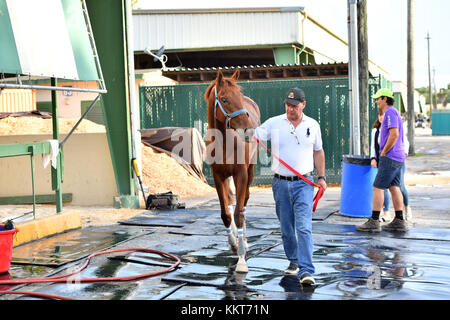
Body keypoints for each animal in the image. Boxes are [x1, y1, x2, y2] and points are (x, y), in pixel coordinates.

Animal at [204, 70, 260, 272]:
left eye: (239, 98)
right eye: (225, 99)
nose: (249, 130)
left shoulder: (241, 174)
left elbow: (239, 213)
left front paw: (242, 259)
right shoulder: (218, 176)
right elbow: (226, 214)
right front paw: (233, 244)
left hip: (250, 171)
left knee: (243, 203)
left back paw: (244, 240)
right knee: (230, 200)